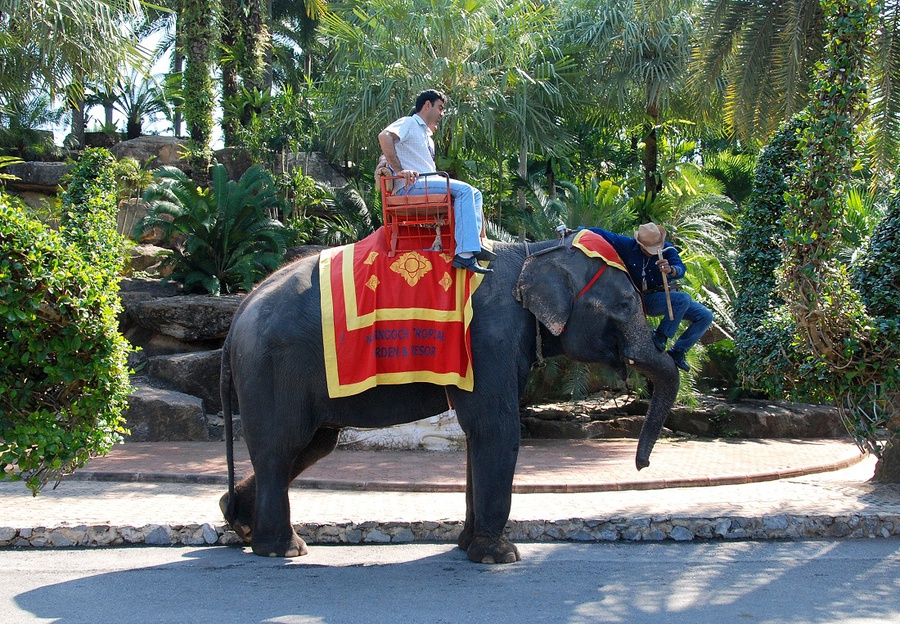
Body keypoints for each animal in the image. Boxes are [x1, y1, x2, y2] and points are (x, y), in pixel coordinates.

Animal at [220, 234, 684, 564]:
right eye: (625, 305)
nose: (641, 466)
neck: (533, 251)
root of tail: (238, 310)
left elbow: (477, 434)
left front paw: (466, 547)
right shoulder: (488, 338)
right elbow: (494, 427)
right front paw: (500, 557)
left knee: (310, 445)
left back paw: (238, 522)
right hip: (273, 369)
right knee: (282, 446)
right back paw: (283, 549)